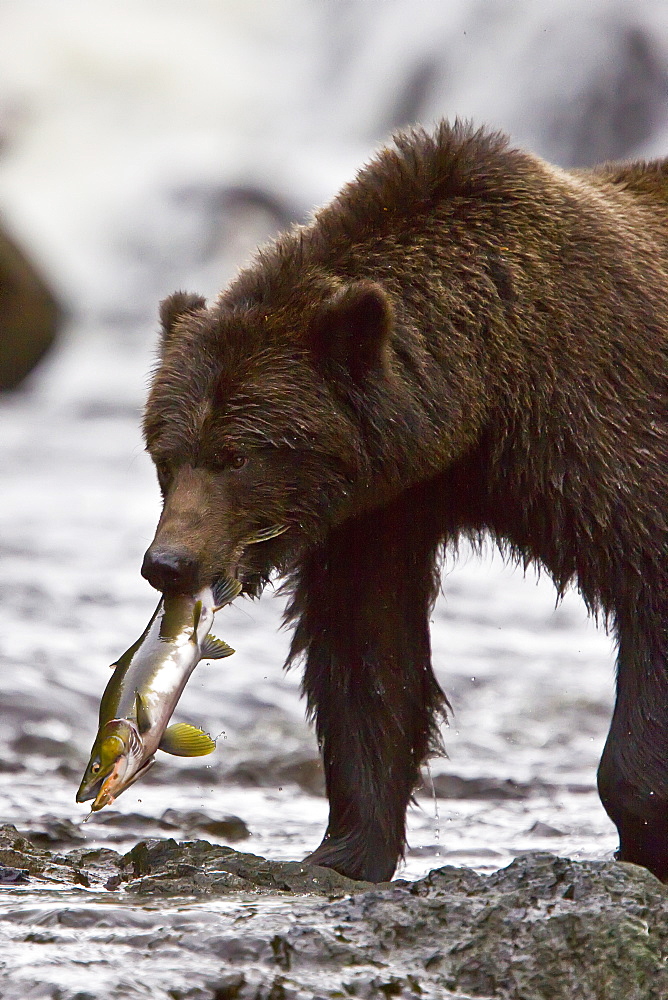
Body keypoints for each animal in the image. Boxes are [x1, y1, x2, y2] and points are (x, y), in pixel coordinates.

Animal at [140, 123, 668, 884]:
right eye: (165, 454)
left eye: (236, 455)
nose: (169, 562)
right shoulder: (379, 506)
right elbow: (368, 651)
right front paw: (347, 846)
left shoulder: (598, 428)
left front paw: (644, 830)